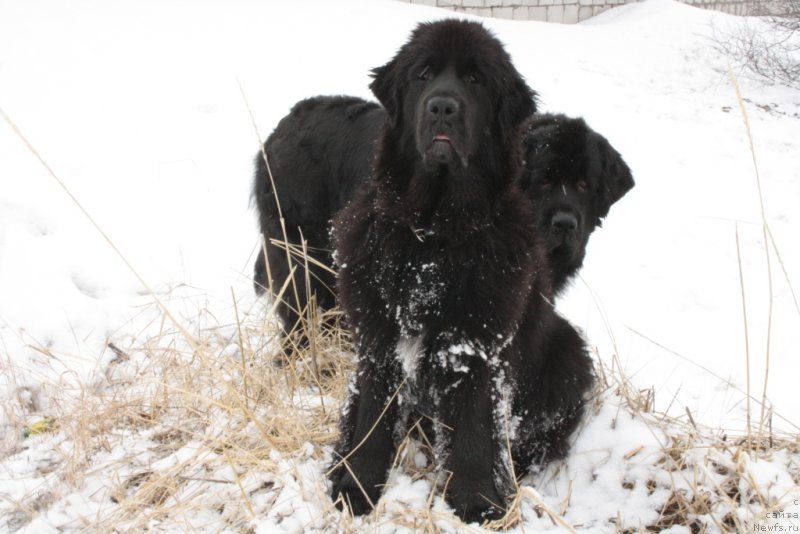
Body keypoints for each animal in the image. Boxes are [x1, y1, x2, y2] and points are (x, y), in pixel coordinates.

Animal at [326, 19, 592, 524]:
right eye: (424, 75)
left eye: (474, 79)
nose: (443, 106)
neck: (434, 234)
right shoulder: (379, 335)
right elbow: (371, 415)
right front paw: (355, 485)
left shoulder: (474, 341)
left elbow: (473, 426)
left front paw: (476, 500)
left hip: (570, 353)